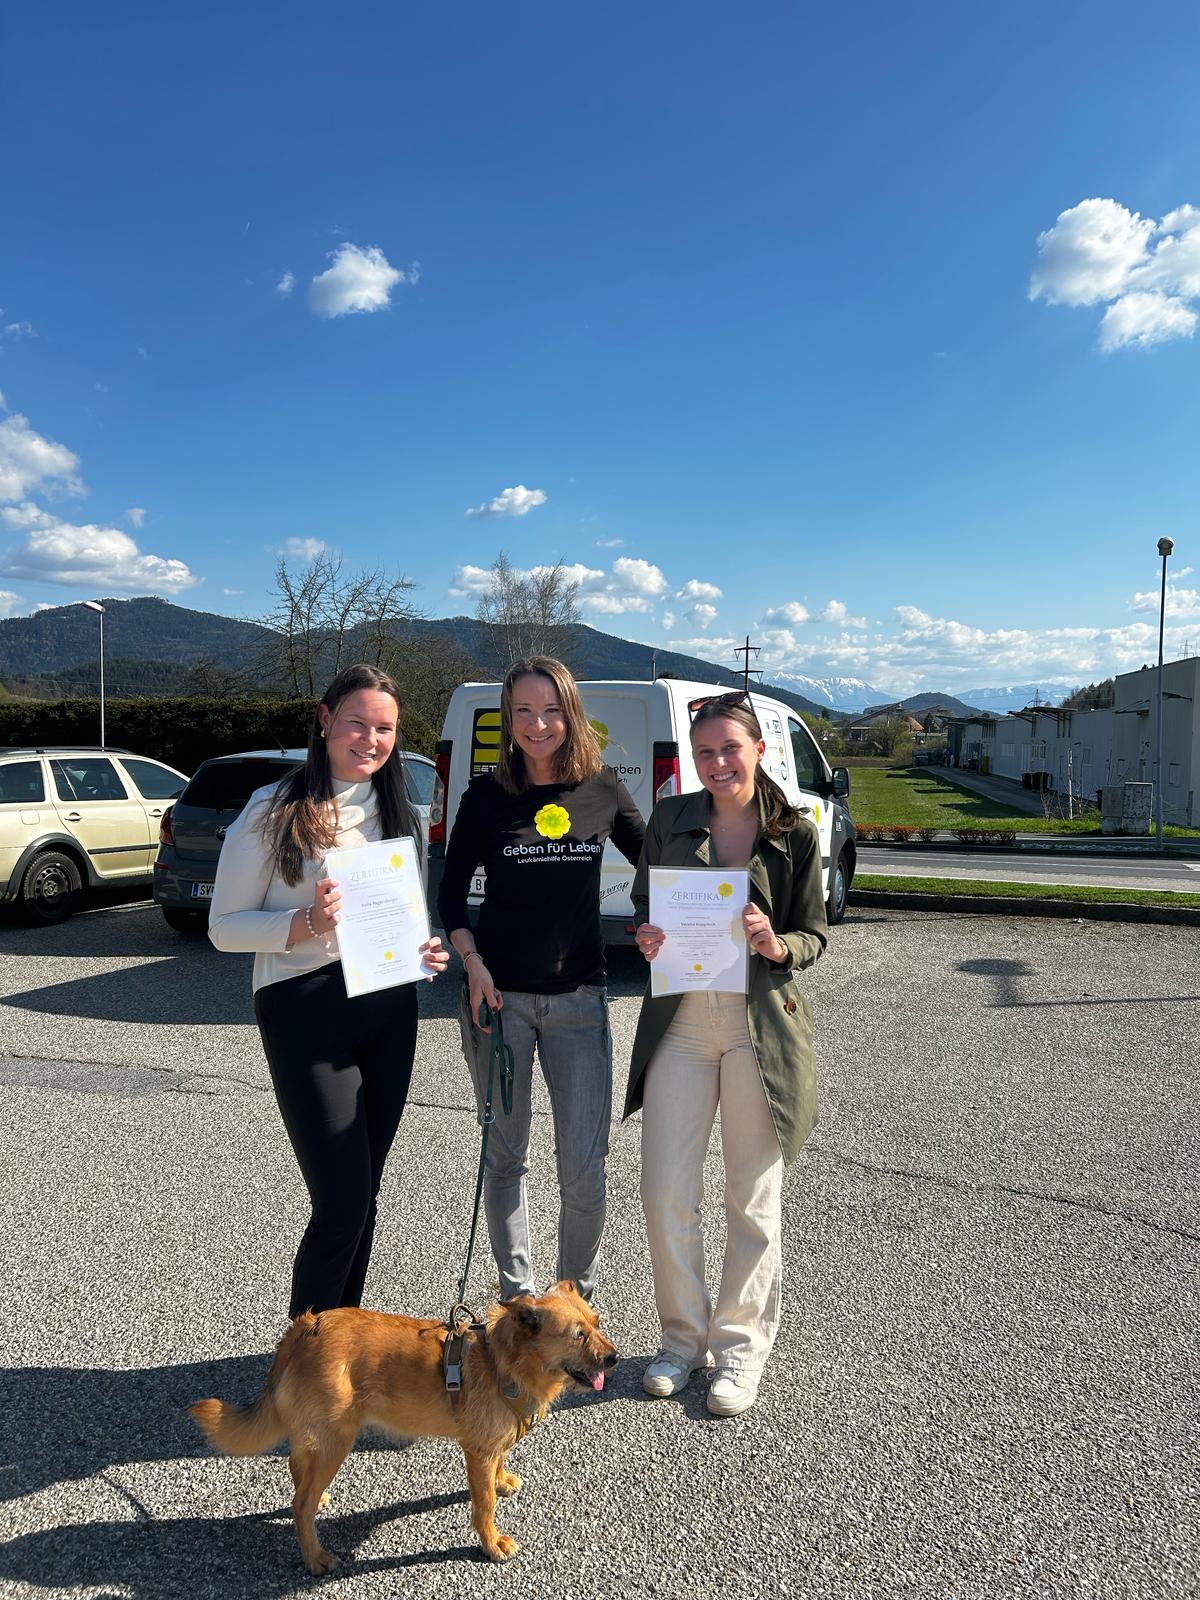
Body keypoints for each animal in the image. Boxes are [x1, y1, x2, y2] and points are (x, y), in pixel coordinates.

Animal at [189, 1281, 617, 1573]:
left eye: (597, 1323)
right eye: (578, 1335)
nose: (614, 1358)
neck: (505, 1362)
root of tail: (303, 1328)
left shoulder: (492, 1445)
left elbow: (498, 1466)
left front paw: (502, 1480)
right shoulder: (477, 1451)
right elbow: (484, 1505)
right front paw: (491, 1543)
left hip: (321, 1436)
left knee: (298, 1467)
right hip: (337, 1441)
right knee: (300, 1503)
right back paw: (314, 1557)